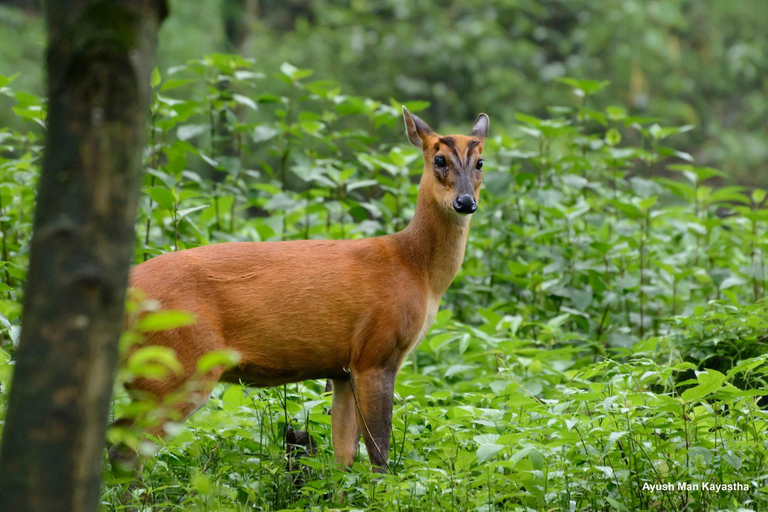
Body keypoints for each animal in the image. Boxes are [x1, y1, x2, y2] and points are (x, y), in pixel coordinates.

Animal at [109, 107, 486, 476]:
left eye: (480, 162)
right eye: (439, 159)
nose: (465, 202)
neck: (414, 267)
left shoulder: (343, 369)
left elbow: (344, 456)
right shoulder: (377, 352)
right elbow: (379, 451)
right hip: (177, 366)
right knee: (128, 452)